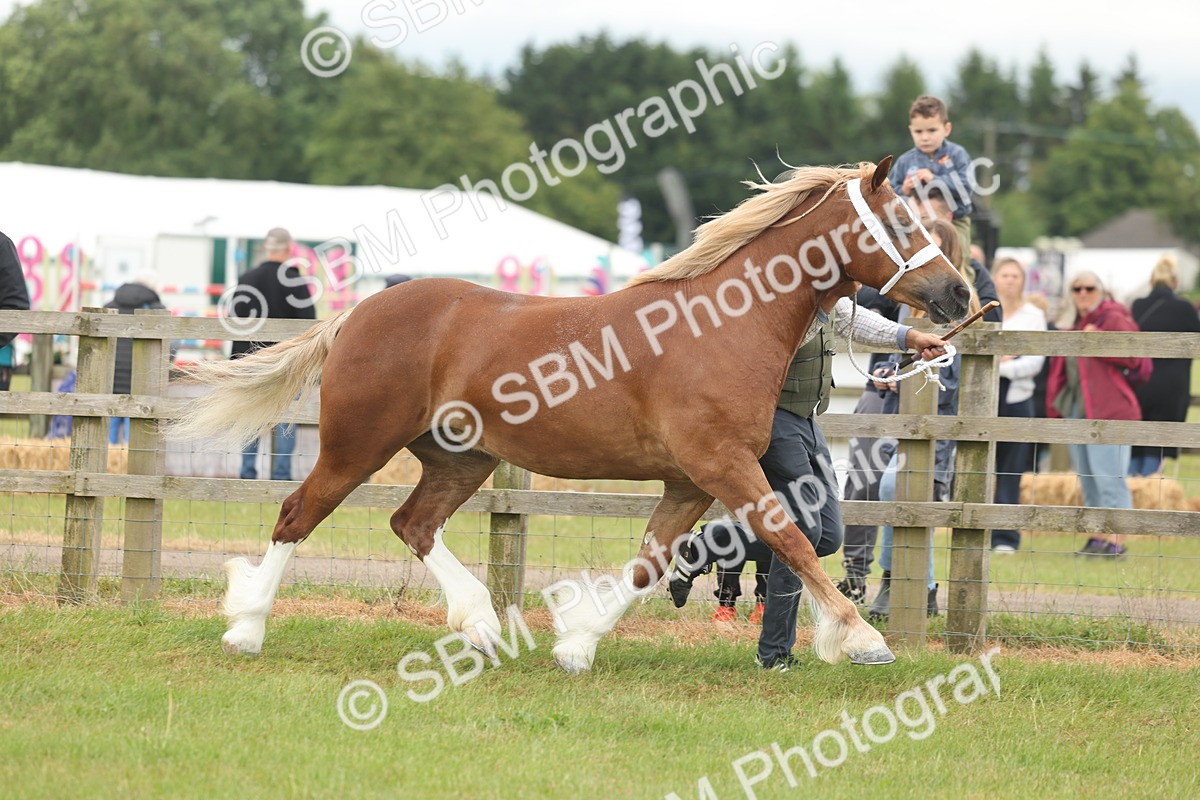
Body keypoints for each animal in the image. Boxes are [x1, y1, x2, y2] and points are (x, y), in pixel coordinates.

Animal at [169, 156, 970, 672]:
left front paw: (576, 642)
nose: (960, 295)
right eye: (901, 221)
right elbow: (795, 542)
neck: (722, 325)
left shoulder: (691, 481)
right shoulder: (724, 466)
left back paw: (482, 627)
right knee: (297, 515)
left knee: (413, 525)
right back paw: (247, 629)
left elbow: (650, 565)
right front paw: (861, 638)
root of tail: (358, 312)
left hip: (462, 458)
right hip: (355, 445)